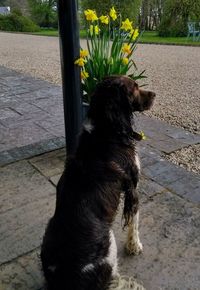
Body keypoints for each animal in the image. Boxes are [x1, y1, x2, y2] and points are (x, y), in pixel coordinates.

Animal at [41, 76, 155, 288]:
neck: (105, 128)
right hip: (109, 241)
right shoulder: (133, 187)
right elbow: (134, 221)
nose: (154, 94)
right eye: (134, 87)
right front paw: (135, 246)